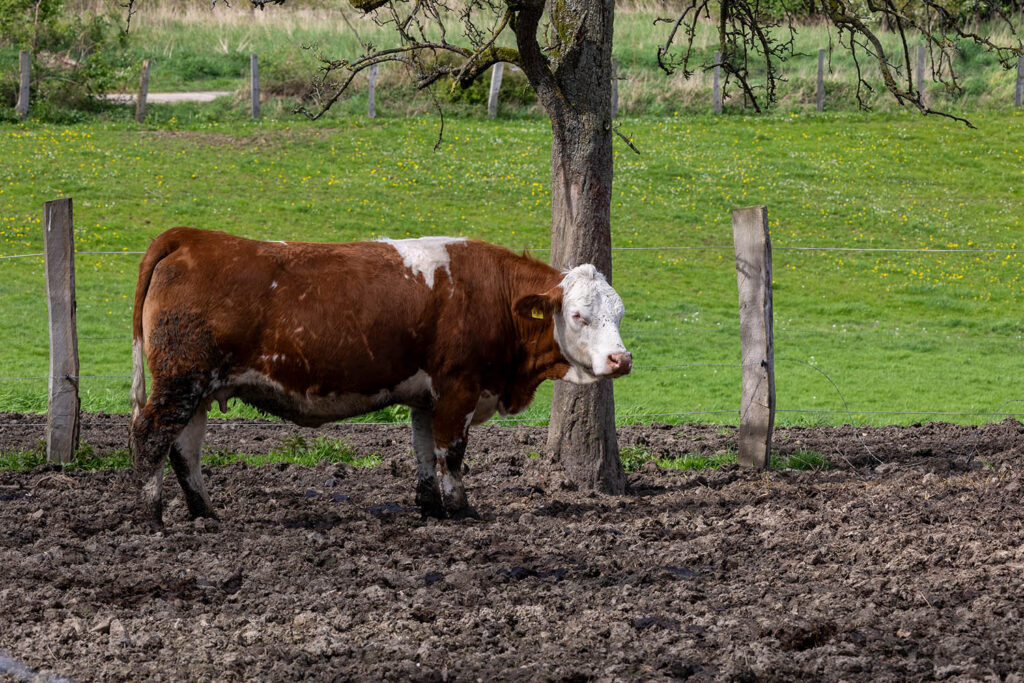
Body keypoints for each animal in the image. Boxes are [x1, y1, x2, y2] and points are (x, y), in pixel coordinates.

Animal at [130, 227, 630, 528]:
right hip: (180, 381)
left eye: (620, 312)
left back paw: (205, 512)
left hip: (196, 388)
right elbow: (452, 454)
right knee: (150, 436)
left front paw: (431, 508)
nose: (620, 360)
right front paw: (461, 510)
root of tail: (191, 237)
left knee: (185, 449)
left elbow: (425, 452)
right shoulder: (459, 389)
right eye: (579, 315)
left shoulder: (427, 397)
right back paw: (152, 516)